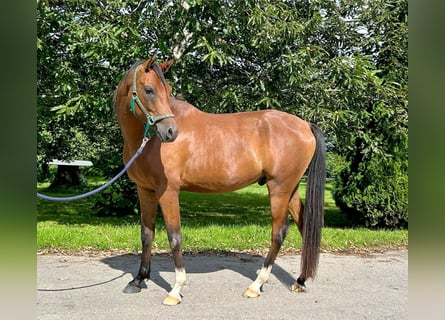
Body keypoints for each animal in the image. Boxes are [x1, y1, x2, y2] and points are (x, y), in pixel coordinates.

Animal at [112, 54, 324, 304]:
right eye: (149, 89)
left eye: (167, 90)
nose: (171, 132)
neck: (147, 142)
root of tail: (305, 125)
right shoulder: (145, 190)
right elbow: (147, 234)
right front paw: (138, 279)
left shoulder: (168, 191)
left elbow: (174, 237)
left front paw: (176, 289)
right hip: (290, 190)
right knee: (303, 226)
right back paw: (299, 281)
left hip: (279, 189)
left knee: (279, 232)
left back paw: (256, 285)